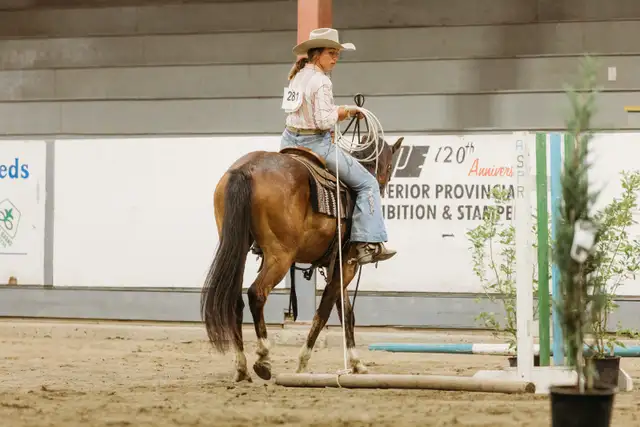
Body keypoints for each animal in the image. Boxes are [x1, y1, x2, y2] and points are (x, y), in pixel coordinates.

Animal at [200, 128, 404, 382]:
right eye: (389, 166)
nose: (382, 185)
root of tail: (248, 169)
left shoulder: (336, 266)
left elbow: (346, 312)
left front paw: (357, 364)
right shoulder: (347, 264)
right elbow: (324, 312)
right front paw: (302, 364)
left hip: (237, 247)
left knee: (234, 300)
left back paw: (242, 367)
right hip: (281, 255)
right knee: (257, 293)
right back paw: (263, 358)